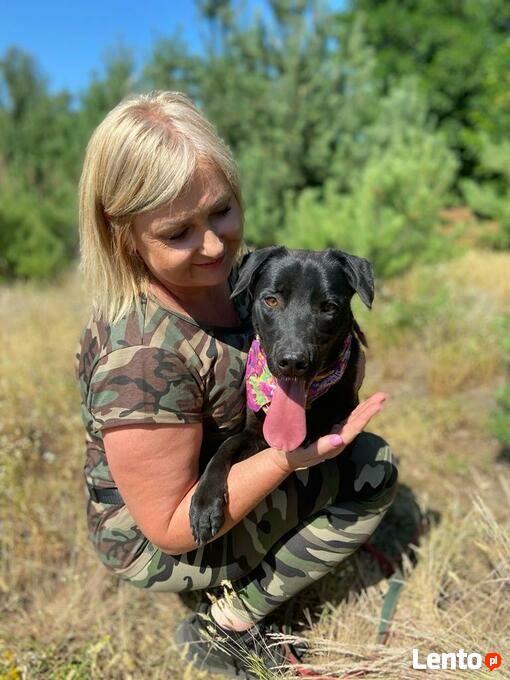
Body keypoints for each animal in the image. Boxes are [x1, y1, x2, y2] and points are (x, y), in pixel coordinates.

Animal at [189, 246, 374, 545]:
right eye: (271, 301)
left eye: (329, 307)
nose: (293, 361)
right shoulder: (254, 433)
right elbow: (226, 446)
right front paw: (205, 504)